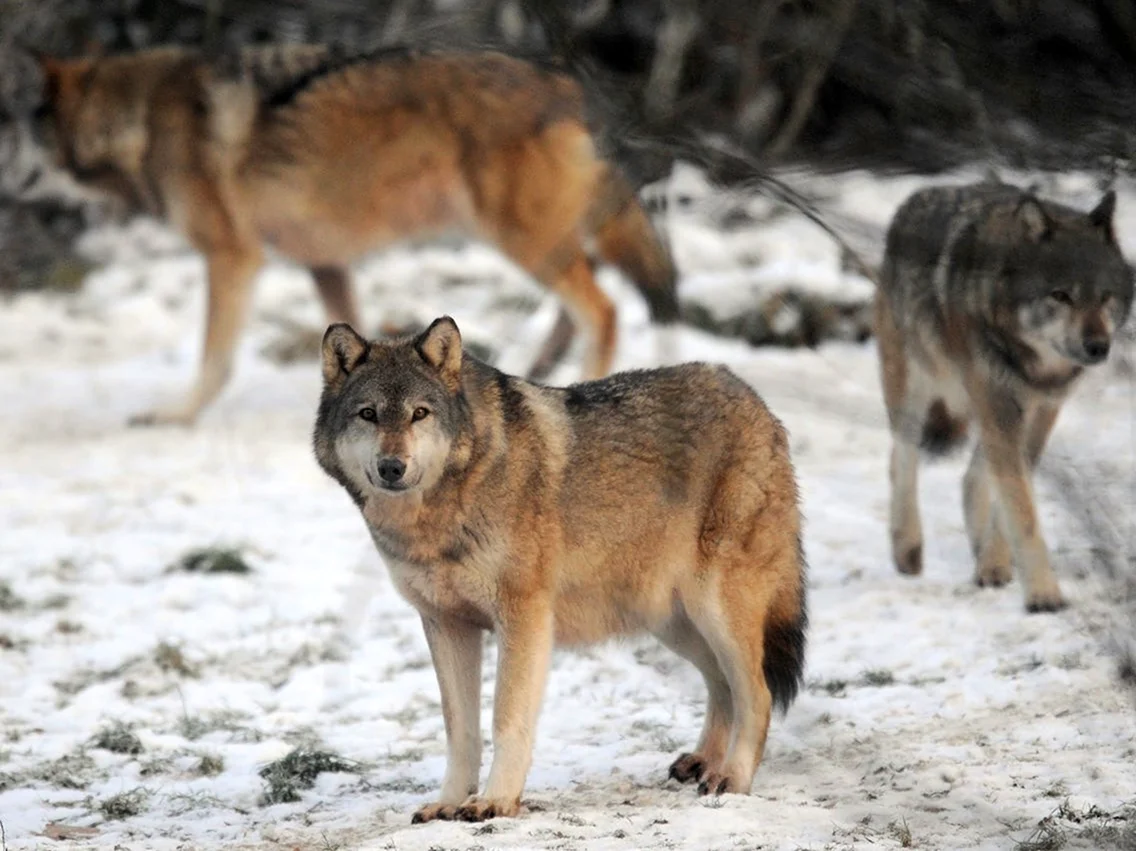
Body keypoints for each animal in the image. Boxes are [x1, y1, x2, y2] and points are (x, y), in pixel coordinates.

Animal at [4, 43, 677, 424]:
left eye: (21, 133)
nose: (7, 181)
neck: (137, 121)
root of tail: (567, 86)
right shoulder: (324, 262)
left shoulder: (232, 255)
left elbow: (213, 357)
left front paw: (174, 414)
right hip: (544, 240)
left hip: (524, 240)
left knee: (604, 309)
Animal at [311, 315, 808, 818]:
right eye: (368, 414)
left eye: (419, 413)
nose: (392, 467)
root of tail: (751, 397)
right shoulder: (446, 624)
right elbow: (459, 730)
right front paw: (448, 804)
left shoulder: (523, 617)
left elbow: (506, 719)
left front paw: (495, 801)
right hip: (671, 622)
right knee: (721, 683)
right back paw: (703, 762)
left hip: (714, 610)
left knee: (758, 693)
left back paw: (731, 778)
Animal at [872, 182, 1131, 613]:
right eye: (1061, 295)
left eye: (1106, 296)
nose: (1098, 347)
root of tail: (911, 201)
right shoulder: (999, 404)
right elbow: (1020, 508)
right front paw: (1044, 594)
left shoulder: (1042, 409)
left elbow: (1009, 501)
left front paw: (995, 564)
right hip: (916, 388)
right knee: (901, 457)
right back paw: (907, 548)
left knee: (970, 477)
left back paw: (982, 556)